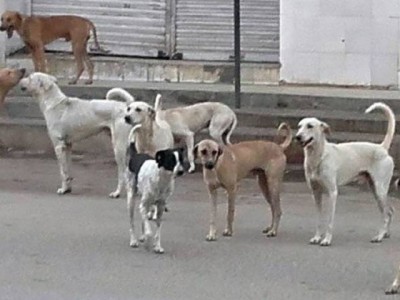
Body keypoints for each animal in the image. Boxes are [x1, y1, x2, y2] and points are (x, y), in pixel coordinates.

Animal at [106, 89, 238, 172]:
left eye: (138, 109)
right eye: (128, 109)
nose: (126, 117)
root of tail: (231, 112)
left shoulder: (189, 135)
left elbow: (190, 154)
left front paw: (191, 167)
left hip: (214, 132)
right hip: (222, 134)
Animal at [296, 102, 396, 246]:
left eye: (310, 126)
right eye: (299, 126)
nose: (297, 137)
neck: (319, 157)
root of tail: (382, 148)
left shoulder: (332, 193)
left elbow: (330, 220)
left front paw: (326, 239)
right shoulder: (316, 193)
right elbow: (319, 219)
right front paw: (317, 237)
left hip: (379, 190)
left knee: (386, 214)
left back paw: (379, 236)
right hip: (376, 190)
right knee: (389, 211)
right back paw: (385, 233)